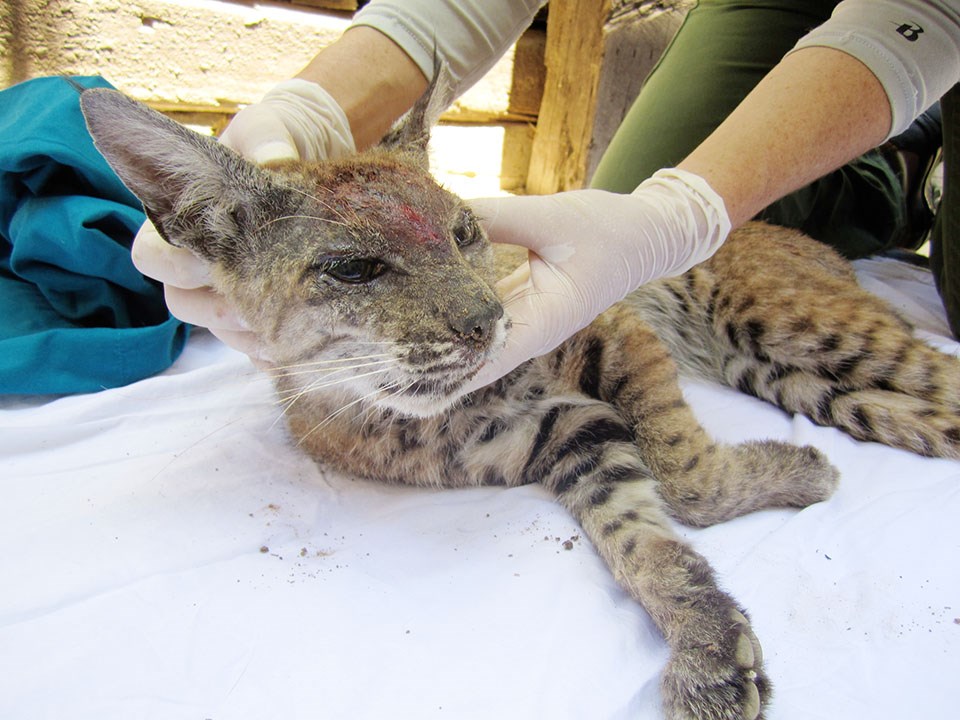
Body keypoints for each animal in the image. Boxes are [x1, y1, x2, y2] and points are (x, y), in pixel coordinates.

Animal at [80, 80, 960, 720]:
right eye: (354, 269)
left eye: (466, 234)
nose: (487, 319)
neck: (409, 407)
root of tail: (818, 245)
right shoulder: (564, 435)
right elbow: (642, 535)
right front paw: (709, 645)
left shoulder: (612, 331)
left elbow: (683, 477)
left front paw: (787, 483)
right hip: (802, 379)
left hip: (790, 325)